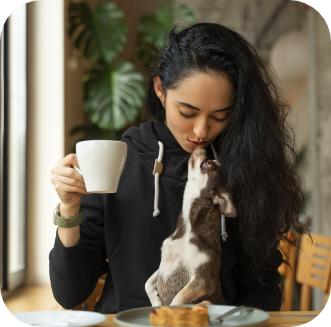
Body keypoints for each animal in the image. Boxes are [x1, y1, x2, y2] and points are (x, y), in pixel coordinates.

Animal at [147, 146, 237, 308]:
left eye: (208, 163)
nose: (202, 147)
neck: (187, 229)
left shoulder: (203, 280)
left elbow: (178, 298)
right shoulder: (162, 264)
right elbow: (148, 283)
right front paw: (156, 301)